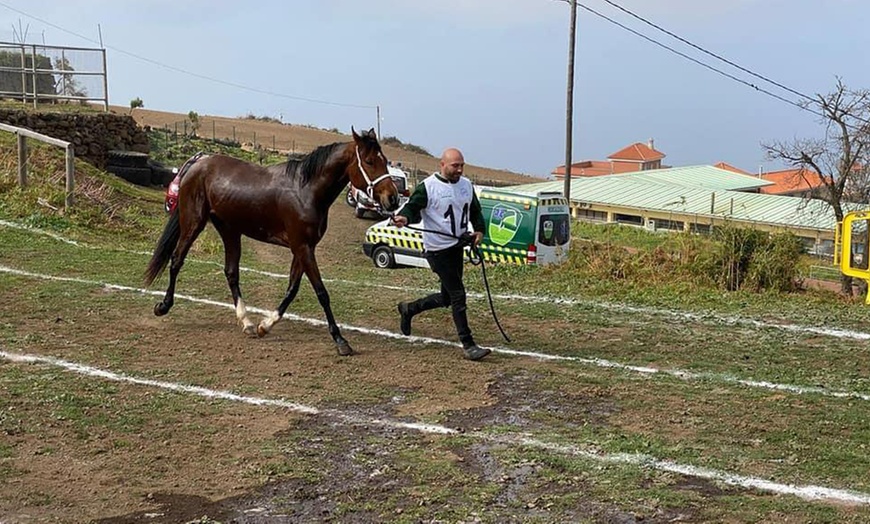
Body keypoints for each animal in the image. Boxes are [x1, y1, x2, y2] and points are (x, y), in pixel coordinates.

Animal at [144, 127, 402, 356]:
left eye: (384, 159)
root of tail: (198, 163)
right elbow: (321, 292)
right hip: (193, 223)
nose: (393, 198)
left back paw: (247, 322)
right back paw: (163, 306)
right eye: (369, 161)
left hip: (229, 230)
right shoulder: (303, 248)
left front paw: (265, 326)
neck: (306, 190)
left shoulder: (302, 249)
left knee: (231, 272)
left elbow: (292, 289)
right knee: (177, 260)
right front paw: (340, 340)